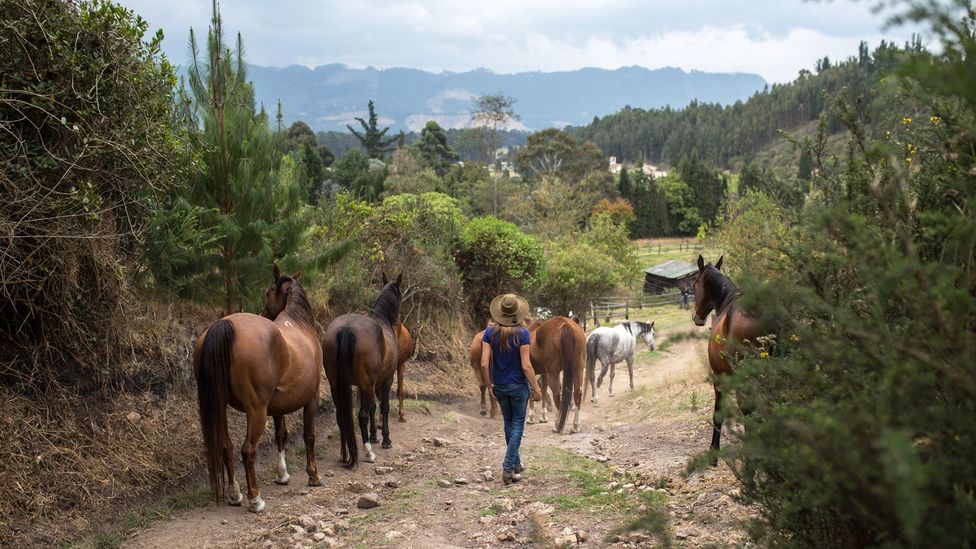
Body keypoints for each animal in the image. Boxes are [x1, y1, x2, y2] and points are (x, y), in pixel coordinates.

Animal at [194, 264, 324, 512]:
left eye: (267, 292)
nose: (265, 313)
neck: (298, 324)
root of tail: (223, 325)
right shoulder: (311, 398)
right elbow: (309, 435)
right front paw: (313, 475)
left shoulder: (278, 406)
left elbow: (281, 435)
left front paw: (283, 475)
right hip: (256, 411)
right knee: (247, 450)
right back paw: (255, 498)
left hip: (220, 407)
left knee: (226, 447)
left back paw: (235, 494)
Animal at [318, 272, 398, 464]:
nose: (398, 321)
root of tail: (346, 329)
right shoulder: (385, 380)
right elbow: (383, 407)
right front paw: (385, 439)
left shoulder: (365, 385)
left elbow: (373, 407)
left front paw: (374, 436)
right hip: (367, 384)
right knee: (361, 415)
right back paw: (368, 452)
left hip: (336, 385)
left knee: (341, 416)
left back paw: (344, 454)